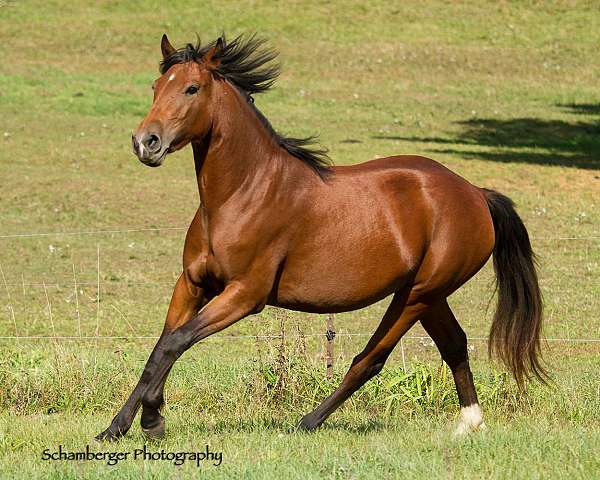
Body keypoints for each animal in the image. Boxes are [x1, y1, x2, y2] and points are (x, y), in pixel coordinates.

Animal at [96, 31, 548, 440]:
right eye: (156, 87)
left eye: (192, 88)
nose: (146, 142)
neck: (244, 191)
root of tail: (475, 194)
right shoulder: (192, 284)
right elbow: (161, 347)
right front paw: (116, 429)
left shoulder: (244, 295)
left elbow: (175, 343)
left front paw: (151, 421)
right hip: (430, 296)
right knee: (454, 344)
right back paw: (470, 424)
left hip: (416, 295)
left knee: (371, 358)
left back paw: (306, 423)